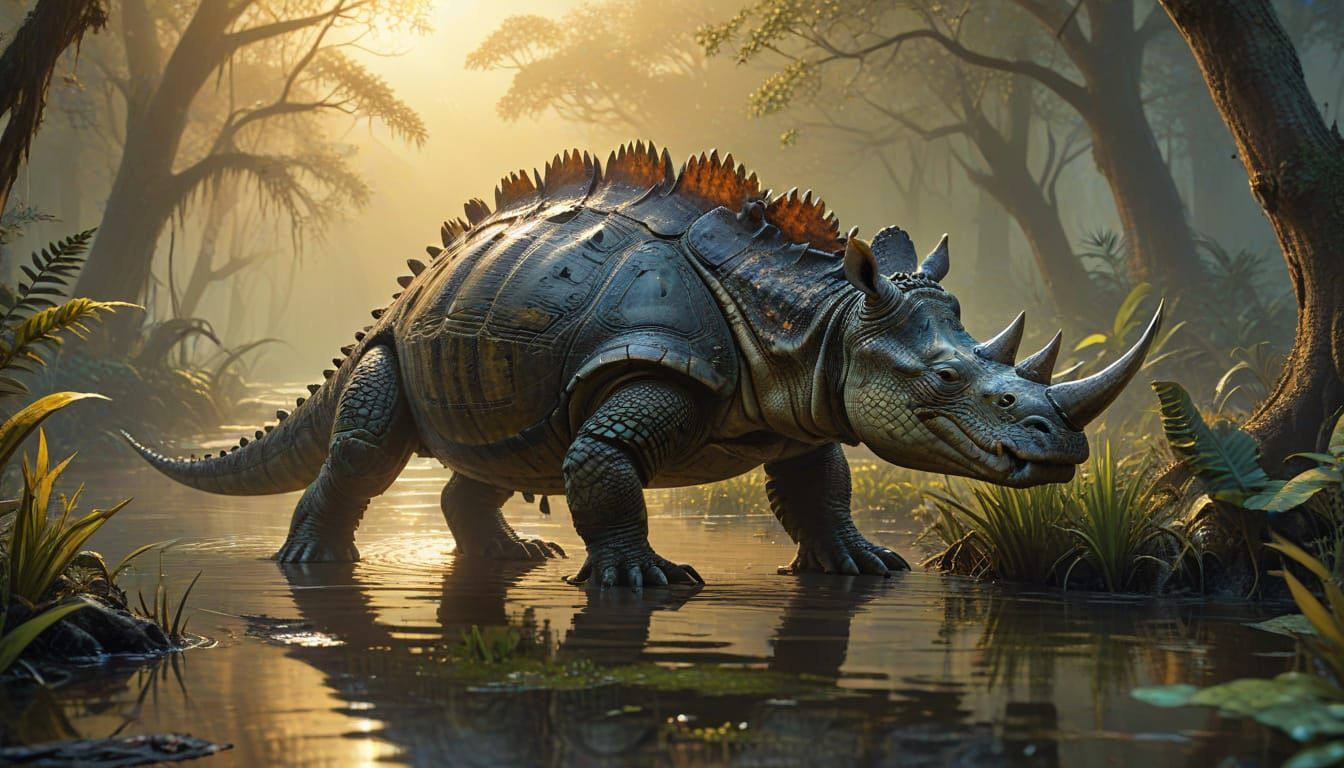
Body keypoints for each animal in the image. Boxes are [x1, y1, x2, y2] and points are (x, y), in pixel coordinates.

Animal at [125, 143, 1161, 588]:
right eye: (946, 384)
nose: (1062, 446)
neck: (815, 314)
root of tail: (411, 285)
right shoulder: (664, 363)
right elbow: (610, 464)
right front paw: (641, 580)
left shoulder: (803, 399)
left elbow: (819, 483)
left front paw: (861, 565)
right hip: (396, 338)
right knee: (371, 444)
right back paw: (311, 561)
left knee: (498, 450)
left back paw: (516, 555)